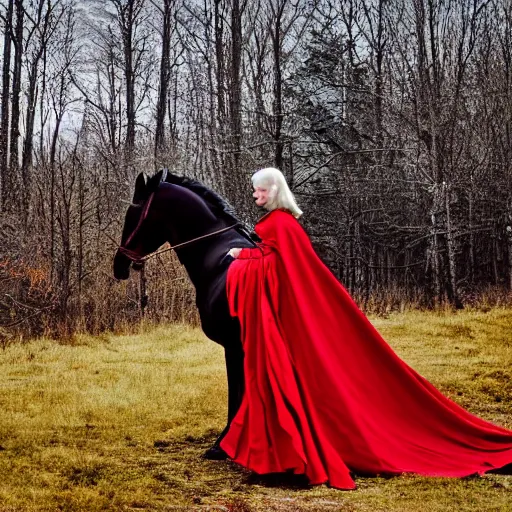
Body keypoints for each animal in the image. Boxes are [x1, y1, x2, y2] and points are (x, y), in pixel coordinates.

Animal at [113, 170, 255, 458]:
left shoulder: (234, 346)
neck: (216, 251)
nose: (118, 264)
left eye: (132, 215)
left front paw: (223, 444)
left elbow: (236, 393)